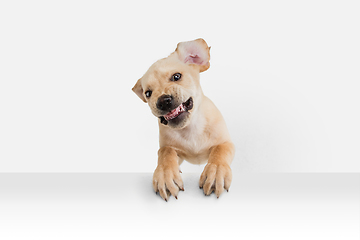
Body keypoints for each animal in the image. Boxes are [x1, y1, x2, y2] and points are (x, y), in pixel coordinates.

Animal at [131, 39, 233, 201]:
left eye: (177, 77)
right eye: (148, 93)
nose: (163, 101)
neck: (190, 128)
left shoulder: (226, 143)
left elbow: (220, 151)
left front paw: (216, 172)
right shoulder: (169, 148)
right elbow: (165, 152)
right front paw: (165, 175)